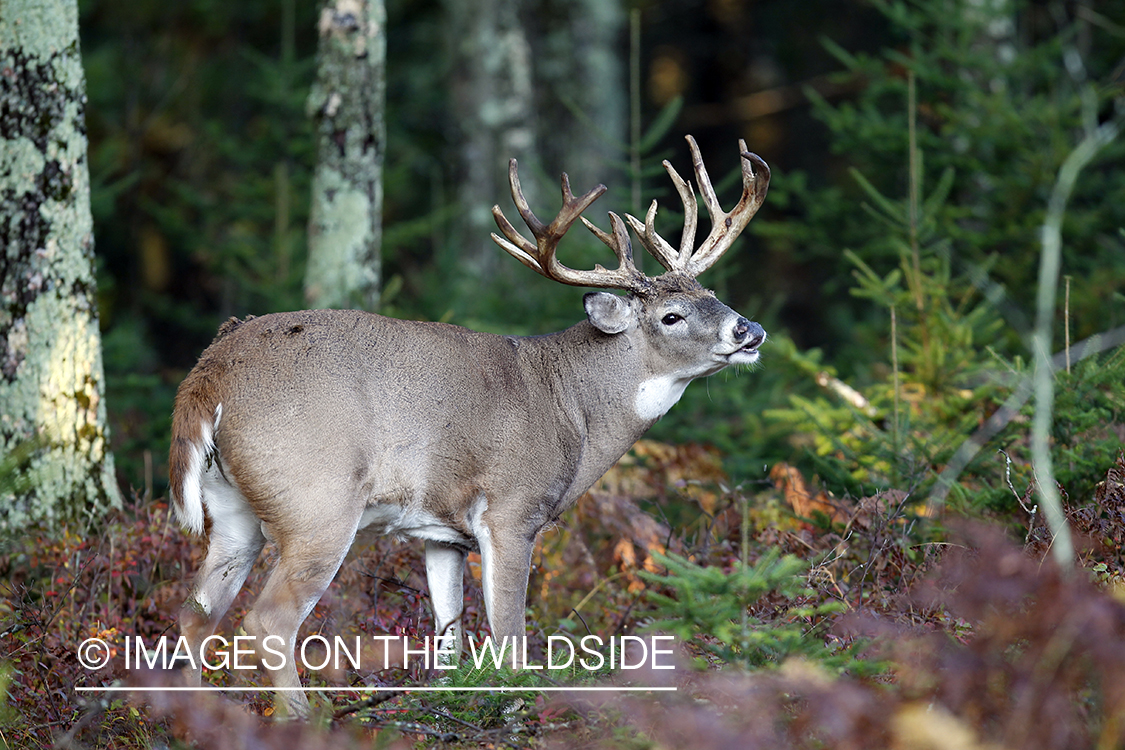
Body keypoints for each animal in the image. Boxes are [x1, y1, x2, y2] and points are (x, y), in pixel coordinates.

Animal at [166, 134, 769, 715]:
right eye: (672, 317)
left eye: (712, 295)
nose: (751, 330)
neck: (572, 407)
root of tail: (209, 375)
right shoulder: (512, 509)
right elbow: (510, 638)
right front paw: (518, 706)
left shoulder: (442, 534)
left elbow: (449, 640)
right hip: (317, 499)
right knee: (266, 620)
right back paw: (301, 718)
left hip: (233, 511)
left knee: (194, 614)